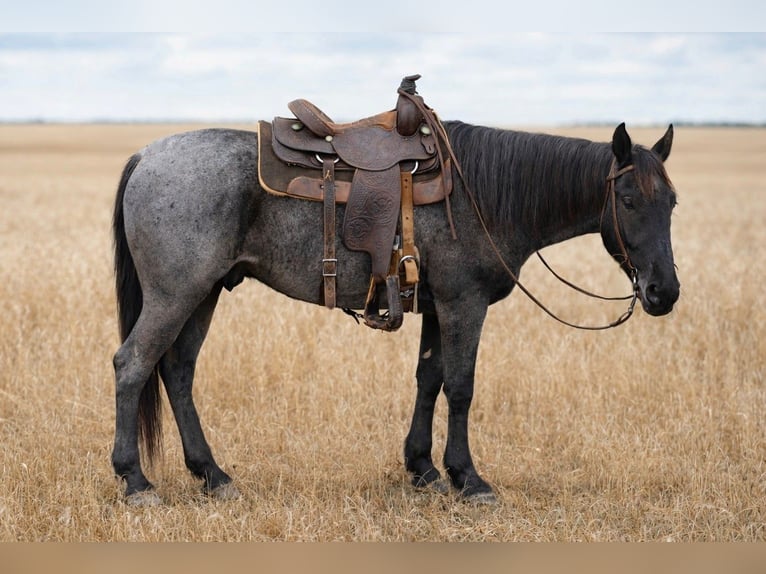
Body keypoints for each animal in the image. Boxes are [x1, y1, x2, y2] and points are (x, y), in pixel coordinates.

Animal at [111, 119, 679, 506]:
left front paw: (423, 468)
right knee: (133, 365)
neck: (484, 197)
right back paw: (135, 481)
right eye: (628, 200)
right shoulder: (463, 304)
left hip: (203, 293)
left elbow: (429, 379)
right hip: (175, 294)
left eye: (671, 202)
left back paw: (212, 475)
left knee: (178, 371)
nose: (664, 291)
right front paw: (469, 479)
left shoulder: (436, 306)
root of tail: (145, 154)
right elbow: (461, 386)